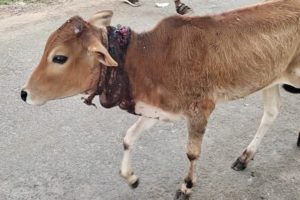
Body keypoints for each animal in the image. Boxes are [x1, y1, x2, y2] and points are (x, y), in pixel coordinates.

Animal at [21, 0, 300, 198]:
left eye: (59, 57)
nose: (24, 93)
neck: (145, 58)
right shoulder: (158, 110)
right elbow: (128, 138)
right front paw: (131, 178)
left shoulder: (200, 109)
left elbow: (192, 153)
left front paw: (186, 186)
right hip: (270, 80)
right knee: (271, 113)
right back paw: (245, 158)